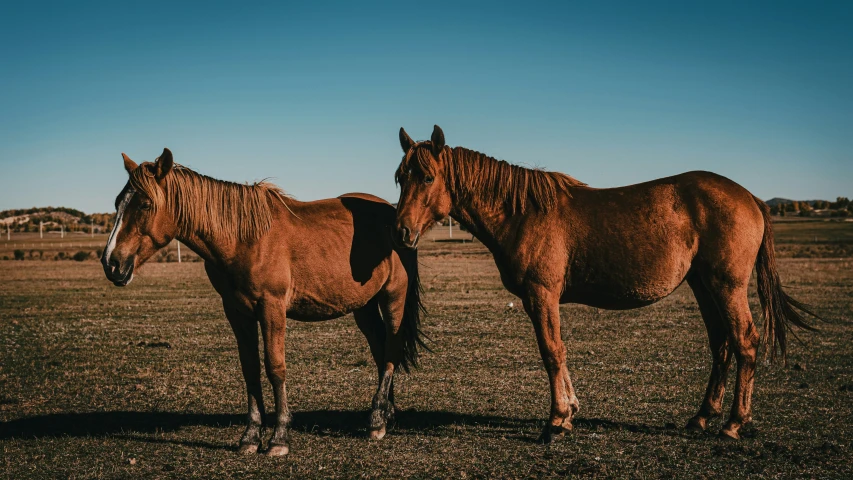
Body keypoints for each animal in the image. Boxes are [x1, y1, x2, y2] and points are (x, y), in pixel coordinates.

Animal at [101, 148, 424, 456]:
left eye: (145, 204)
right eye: (118, 202)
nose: (111, 263)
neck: (244, 239)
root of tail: (397, 219)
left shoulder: (272, 308)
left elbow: (275, 368)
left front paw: (279, 437)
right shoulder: (237, 312)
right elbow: (250, 369)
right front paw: (250, 436)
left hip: (393, 296)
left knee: (392, 349)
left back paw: (377, 421)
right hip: (364, 306)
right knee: (381, 350)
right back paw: (386, 413)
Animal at [396, 124, 816, 442]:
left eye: (428, 177)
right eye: (400, 178)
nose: (400, 231)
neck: (523, 213)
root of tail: (750, 197)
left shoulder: (540, 295)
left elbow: (552, 352)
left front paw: (556, 420)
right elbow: (559, 352)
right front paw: (569, 413)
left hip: (726, 287)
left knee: (745, 342)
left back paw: (733, 424)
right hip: (704, 287)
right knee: (721, 345)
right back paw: (702, 416)